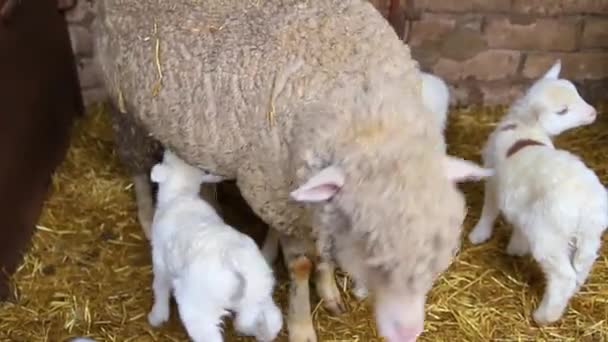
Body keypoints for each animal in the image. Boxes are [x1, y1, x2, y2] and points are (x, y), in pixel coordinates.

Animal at [147, 150, 282, 342]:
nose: (169, 149)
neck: (181, 194)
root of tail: (235, 259)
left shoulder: (159, 259)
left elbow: (160, 287)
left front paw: (157, 316)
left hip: (198, 308)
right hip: (258, 290)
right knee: (272, 318)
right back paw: (260, 333)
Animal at [466, 60, 604, 324]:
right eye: (563, 111)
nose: (593, 112)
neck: (524, 126)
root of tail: (587, 207)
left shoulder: (495, 179)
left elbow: (490, 208)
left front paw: (479, 234)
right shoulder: (521, 198)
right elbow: (518, 221)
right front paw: (517, 247)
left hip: (549, 235)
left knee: (562, 277)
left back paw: (545, 315)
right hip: (589, 236)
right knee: (583, 264)